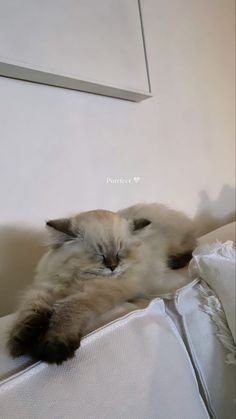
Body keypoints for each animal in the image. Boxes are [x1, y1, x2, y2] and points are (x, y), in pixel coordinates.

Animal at [7, 203, 196, 364]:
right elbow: (31, 315)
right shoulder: (44, 289)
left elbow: (68, 309)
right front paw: (22, 341)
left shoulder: (100, 291)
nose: (113, 267)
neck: (76, 279)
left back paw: (174, 261)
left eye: (120, 253)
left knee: (191, 249)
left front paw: (53, 347)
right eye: (99, 255)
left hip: (178, 245)